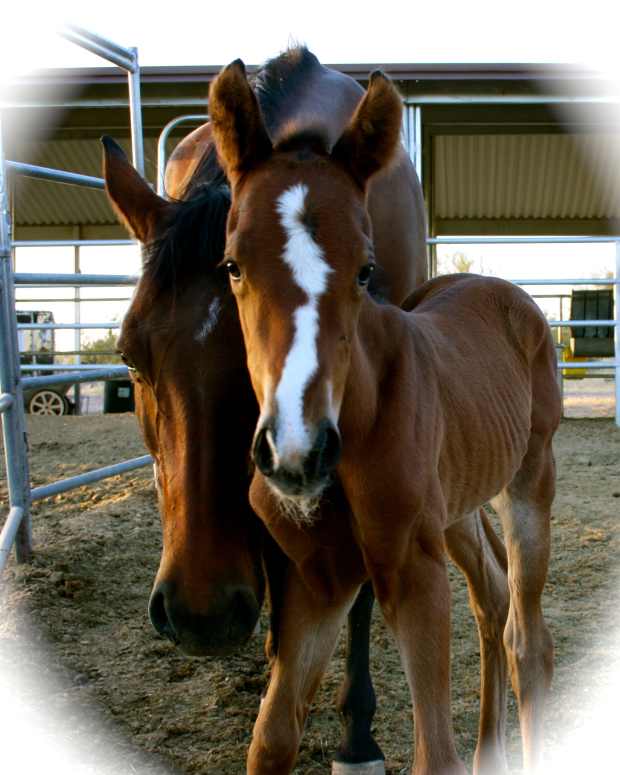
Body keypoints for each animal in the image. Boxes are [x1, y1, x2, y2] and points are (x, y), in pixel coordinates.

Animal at [206, 60, 562, 775]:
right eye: (232, 264)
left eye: (366, 269)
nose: (297, 454)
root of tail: (500, 287)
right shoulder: (315, 581)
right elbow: (271, 739)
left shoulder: (413, 574)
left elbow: (434, 755)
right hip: (456, 506)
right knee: (492, 598)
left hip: (530, 480)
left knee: (527, 638)